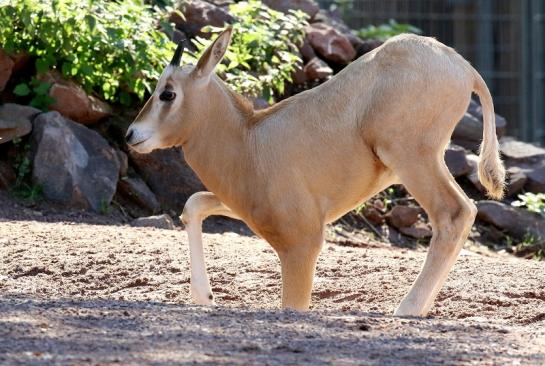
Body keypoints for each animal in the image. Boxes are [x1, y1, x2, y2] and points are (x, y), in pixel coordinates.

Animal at [125, 27, 504, 316]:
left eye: (168, 94)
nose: (131, 135)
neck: (248, 141)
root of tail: (462, 67)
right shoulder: (239, 206)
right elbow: (193, 205)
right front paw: (204, 296)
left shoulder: (301, 243)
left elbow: (293, 305)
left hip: (411, 157)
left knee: (454, 214)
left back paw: (406, 310)